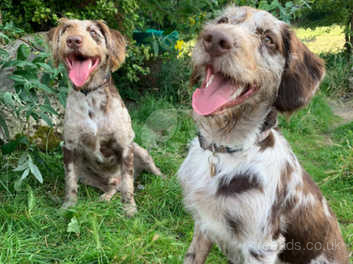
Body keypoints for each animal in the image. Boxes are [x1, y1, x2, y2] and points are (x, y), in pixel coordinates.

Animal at [47, 19, 162, 217]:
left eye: (93, 32)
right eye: (67, 29)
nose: (73, 40)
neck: (90, 95)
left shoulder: (125, 146)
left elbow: (128, 184)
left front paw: (129, 209)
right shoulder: (69, 148)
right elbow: (70, 182)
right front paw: (68, 206)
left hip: (141, 151)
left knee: (144, 174)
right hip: (86, 175)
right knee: (113, 186)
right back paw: (106, 197)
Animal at [177, 6, 348, 264]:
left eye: (268, 39)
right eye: (223, 20)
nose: (214, 39)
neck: (225, 151)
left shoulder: (261, 246)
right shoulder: (203, 224)